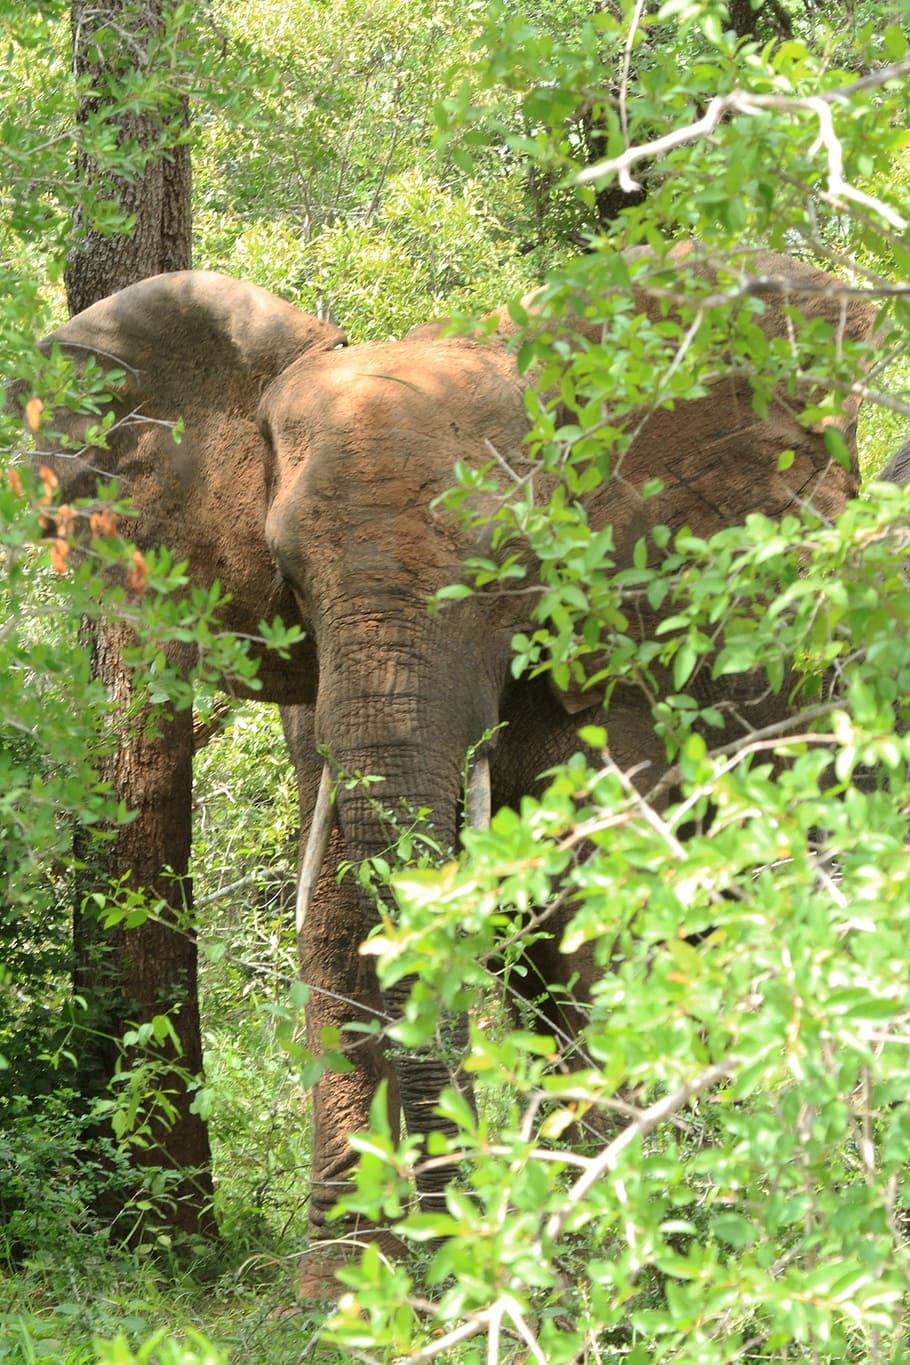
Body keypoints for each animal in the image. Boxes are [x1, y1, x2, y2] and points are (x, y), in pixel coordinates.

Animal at [13, 249, 877, 1295]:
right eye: (287, 572)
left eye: (517, 566)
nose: (450, 1235)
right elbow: (340, 915)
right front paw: (345, 1290)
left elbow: (586, 906)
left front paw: (590, 1274)